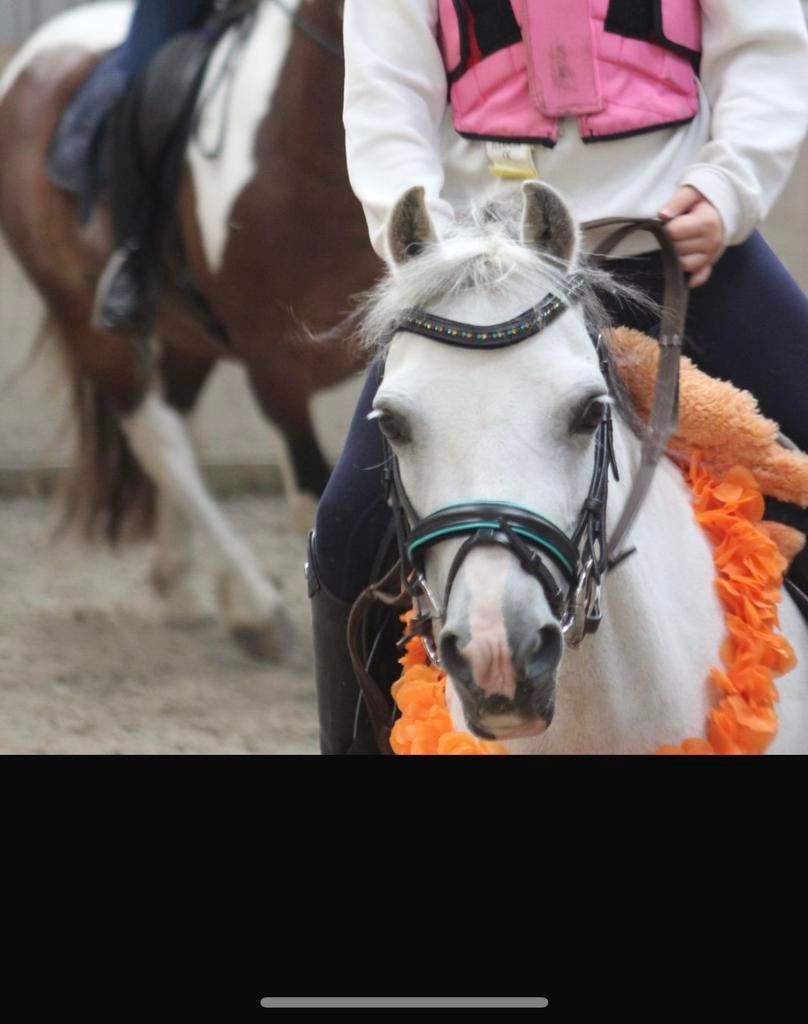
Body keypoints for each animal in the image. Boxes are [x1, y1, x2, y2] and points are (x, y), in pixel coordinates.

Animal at [0, 0, 377, 656]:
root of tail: (30, 59)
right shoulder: (273, 368)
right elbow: (314, 499)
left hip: (189, 335)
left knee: (176, 414)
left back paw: (182, 582)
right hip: (87, 321)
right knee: (160, 439)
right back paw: (251, 605)